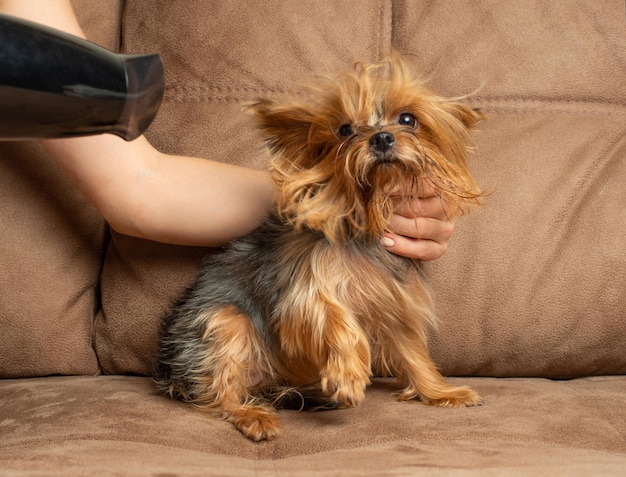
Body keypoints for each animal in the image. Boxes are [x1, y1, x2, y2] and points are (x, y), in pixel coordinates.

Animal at [155, 54, 482, 440]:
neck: (368, 218)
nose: (382, 138)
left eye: (407, 119)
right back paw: (253, 415)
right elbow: (332, 317)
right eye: (344, 130)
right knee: (222, 391)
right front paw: (348, 375)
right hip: (223, 322)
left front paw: (440, 391)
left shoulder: (394, 300)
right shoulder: (303, 289)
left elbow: (412, 350)